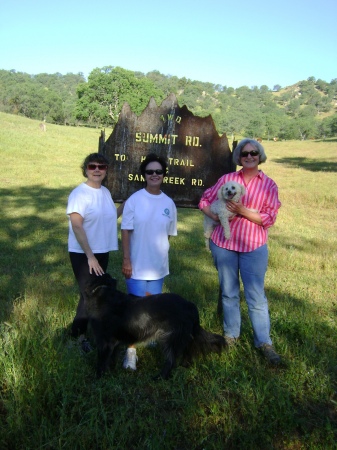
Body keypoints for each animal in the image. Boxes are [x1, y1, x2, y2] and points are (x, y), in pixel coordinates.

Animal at [84, 272, 227, 378]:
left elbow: (102, 361)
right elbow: (111, 360)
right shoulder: (115, 343)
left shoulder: (105, 341)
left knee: (171, 360)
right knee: (187, 353)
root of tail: (189, 304)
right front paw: (111, 373)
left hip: (170, 338)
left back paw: (160, 377)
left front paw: (99, 377)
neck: (102, 290)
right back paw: (183, 367)